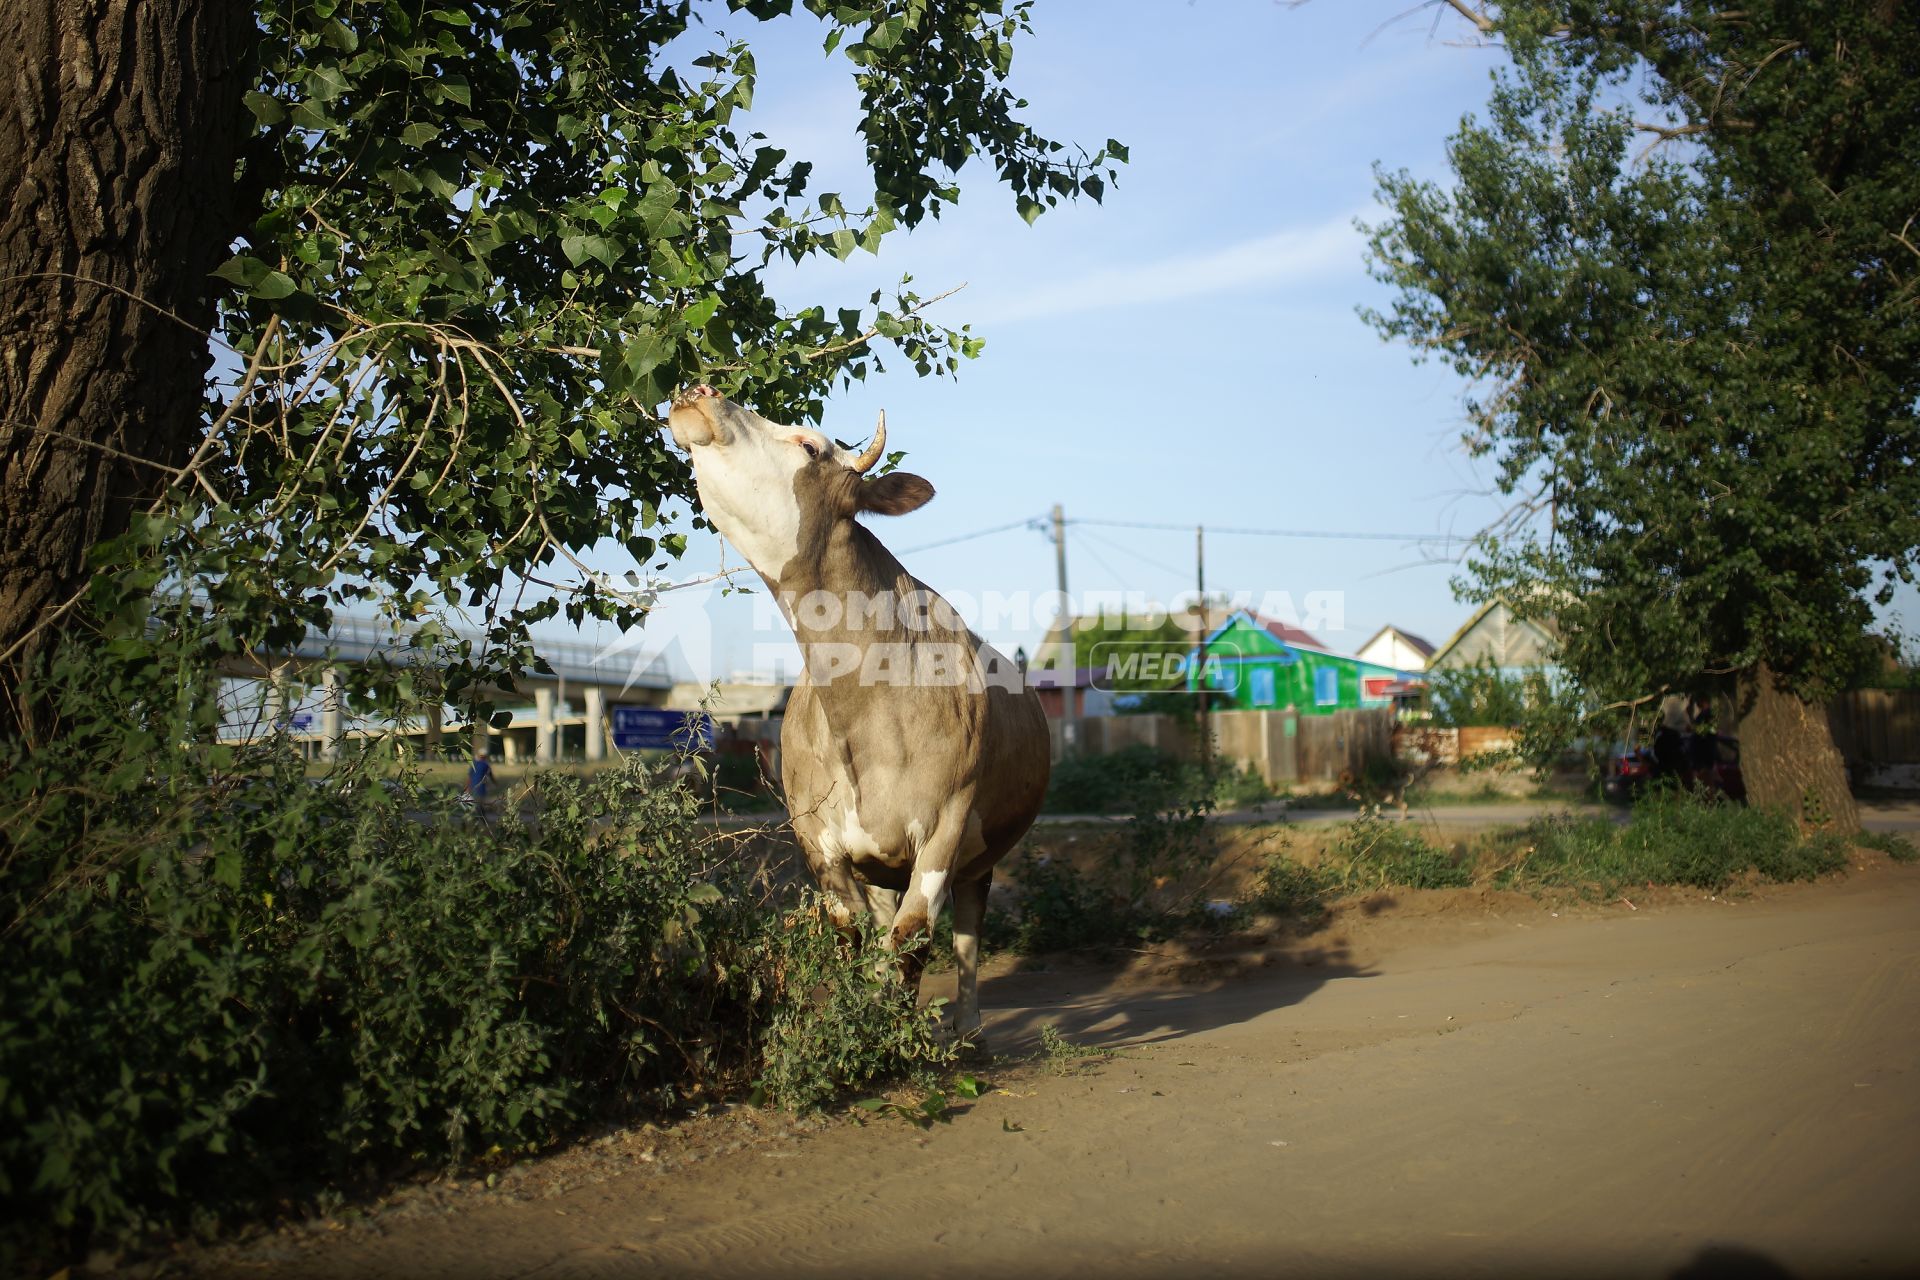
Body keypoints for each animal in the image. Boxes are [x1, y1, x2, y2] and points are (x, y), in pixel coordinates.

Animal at [664, 383, 1052, 1043]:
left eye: (809, 445)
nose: (700, 389)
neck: (866, 712)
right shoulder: (817, 838)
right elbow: (854, 936)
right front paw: (864, 1022)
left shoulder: (946, 823)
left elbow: (914, 936)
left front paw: (892, 1039)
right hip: (880, 864)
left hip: (980, 855)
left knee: (968, 932)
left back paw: (968, 1026)